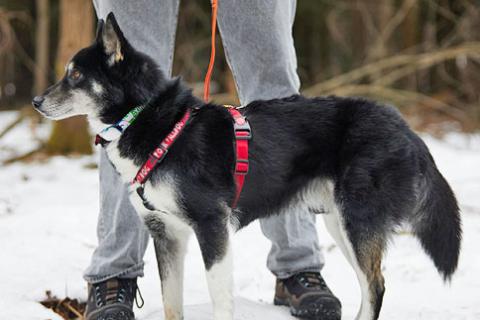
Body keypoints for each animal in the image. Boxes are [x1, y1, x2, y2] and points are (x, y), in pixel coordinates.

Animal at [32, 13, 462, 320]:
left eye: (75, 75)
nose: (36, 102)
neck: (153, 123)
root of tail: (404, 126)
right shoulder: (166, 233)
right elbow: (172, 303)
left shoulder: (212, 227)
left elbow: (220, 300)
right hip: (340, 223)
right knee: (369, 284)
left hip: (358, 221)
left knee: (376, 287)